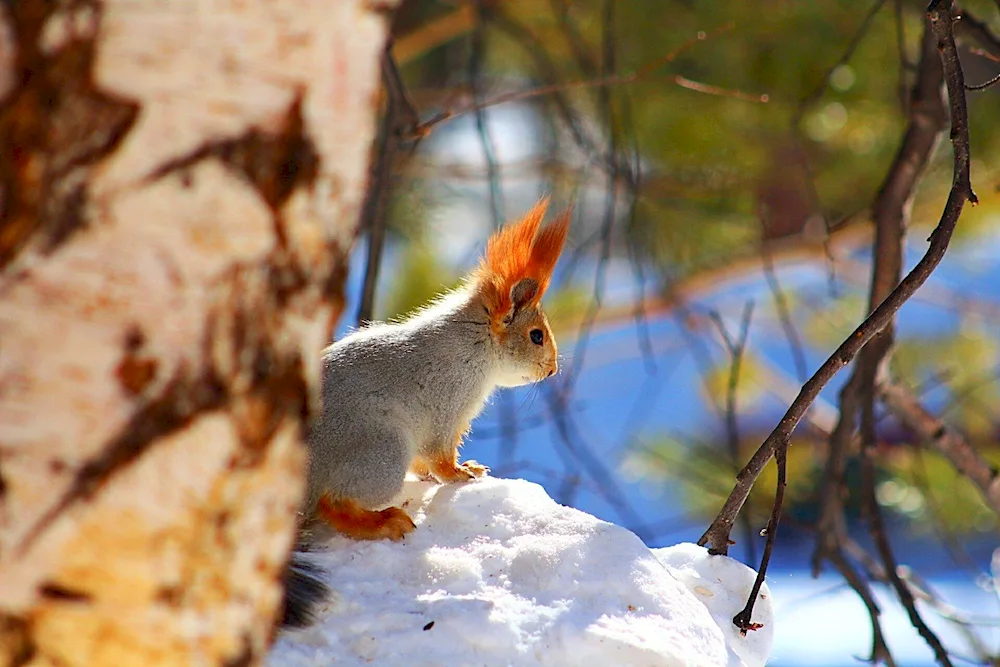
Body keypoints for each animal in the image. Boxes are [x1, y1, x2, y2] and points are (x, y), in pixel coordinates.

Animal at [278, 200, 572, 632]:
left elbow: (425, 462)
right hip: (381, 452)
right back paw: (383, 522)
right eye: (536, 335)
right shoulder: (447, 404)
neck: (474, 342)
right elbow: (439, 454)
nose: (551, 370)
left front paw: (461, 469)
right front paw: (460, 474)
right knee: (334, 503)